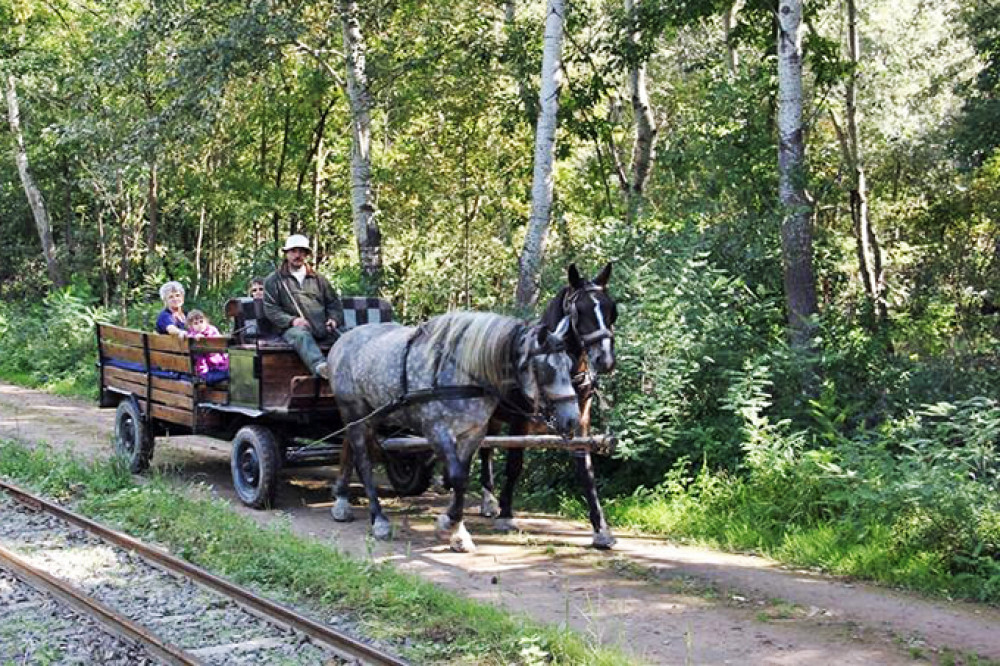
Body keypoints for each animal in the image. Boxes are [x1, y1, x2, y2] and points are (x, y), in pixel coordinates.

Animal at [328, 312, 580, 548]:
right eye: (546, 369)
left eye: (569, 364)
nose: (572, 420)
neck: (466, 374)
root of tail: (342, 340)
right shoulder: (437, 430)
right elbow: (458, 477)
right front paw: (450, 524)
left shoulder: (473, 433)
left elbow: (462, 477)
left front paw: (456, 530)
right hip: (353, 414)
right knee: (363, 463)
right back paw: (377, 518)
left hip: (371, 415)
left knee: (349, 449)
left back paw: (342, 499)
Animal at [478, 262, 616, 548]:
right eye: (580, 310)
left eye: (611, 308)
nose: (606, 359)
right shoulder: (520, 421)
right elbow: (515, 464)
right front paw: (506, 515)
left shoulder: (580, 419)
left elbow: (586, 469)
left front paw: (600, 528)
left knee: (486, 449)